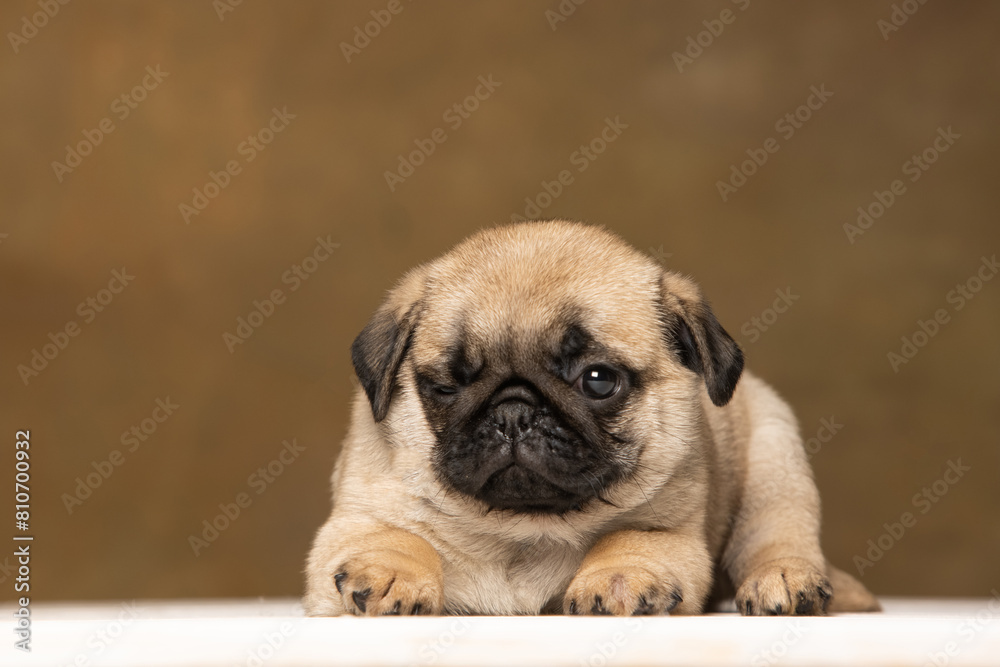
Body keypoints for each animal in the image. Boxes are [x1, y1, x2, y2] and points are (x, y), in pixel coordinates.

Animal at [302, 222, 876, 620]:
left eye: (598, 381)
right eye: (447, 387)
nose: (514, 411)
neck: (522, 532)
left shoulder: (667, 530)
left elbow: (627, 538)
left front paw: (619, 576)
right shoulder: (357, 520)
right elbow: (395, 535)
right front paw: (389, 571)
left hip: (776, 455)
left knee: (776, 536)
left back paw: (784, 579)